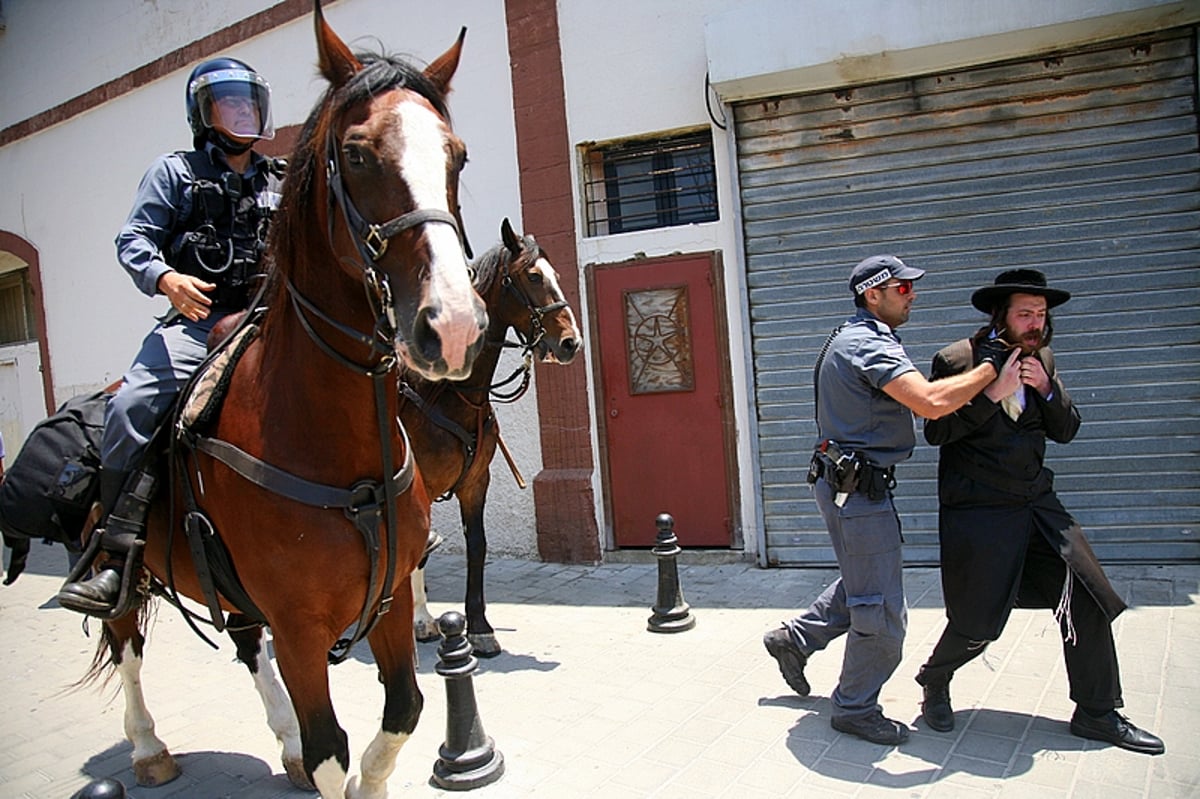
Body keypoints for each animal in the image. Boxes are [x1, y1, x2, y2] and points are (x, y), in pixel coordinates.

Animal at [84, 3, 487, 791]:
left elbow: (403, 712)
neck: (339, 446)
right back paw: (148, 748)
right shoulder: (300, 629)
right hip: (130, 577)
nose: (453, 325)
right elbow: (334, 745)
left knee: (244, 647)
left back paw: (283, 744)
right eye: (357, 154)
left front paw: (364, 774)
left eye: (454, 156)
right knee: (126, 646)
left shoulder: (389, 602)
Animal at [403, 218, 580, 652]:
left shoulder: (475, 482)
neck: (447, 392)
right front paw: (422, 621)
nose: (571, 342)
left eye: (556, 276)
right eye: (533, 277)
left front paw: (479, 625)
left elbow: (477, 546)